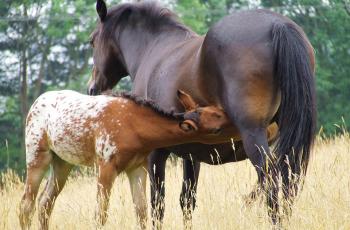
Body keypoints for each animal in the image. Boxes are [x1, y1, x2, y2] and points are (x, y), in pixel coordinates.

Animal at [19, 89, 232, 229]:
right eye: (216, 127)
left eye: (214, 109)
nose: (231, 116)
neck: (133, 126)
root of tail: (35, 103)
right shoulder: (106, 165)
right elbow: (101, 214)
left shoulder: (137, 167)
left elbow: (142, 212)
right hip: (37, 155)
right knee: (26, 205)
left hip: (63, 163)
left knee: (45, 203)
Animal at [88, 0, 318, 226]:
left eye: (92, 41)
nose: (92, 88)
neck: (153, 49)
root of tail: (277, 25)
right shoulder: (192, 153)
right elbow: (186, 200)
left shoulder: (156, 154)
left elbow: (157, 204)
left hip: (253, 134)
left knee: (269, 179)